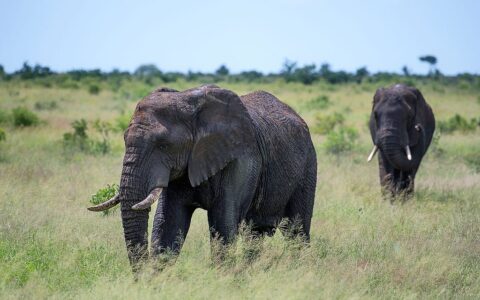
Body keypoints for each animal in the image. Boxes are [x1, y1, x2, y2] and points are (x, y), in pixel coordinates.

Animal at [88, 84, 316, 270]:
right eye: (124, 139)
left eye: (163, 145)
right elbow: (168, 225)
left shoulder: (241, 159)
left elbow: (223, 223)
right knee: (256, 234)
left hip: (308, 165)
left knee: (297, 230)